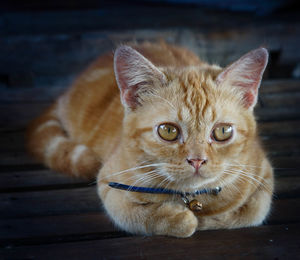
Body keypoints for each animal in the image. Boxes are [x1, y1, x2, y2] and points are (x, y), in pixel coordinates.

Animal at [27, 41, 274, 238]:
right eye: (168, 131)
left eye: (222, 131)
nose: (197, 160)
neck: (190, 198)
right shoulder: (110, 185)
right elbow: (134, 215)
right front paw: (180, 219)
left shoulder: (264, 176)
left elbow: (248, 212)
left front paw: (207, 219)